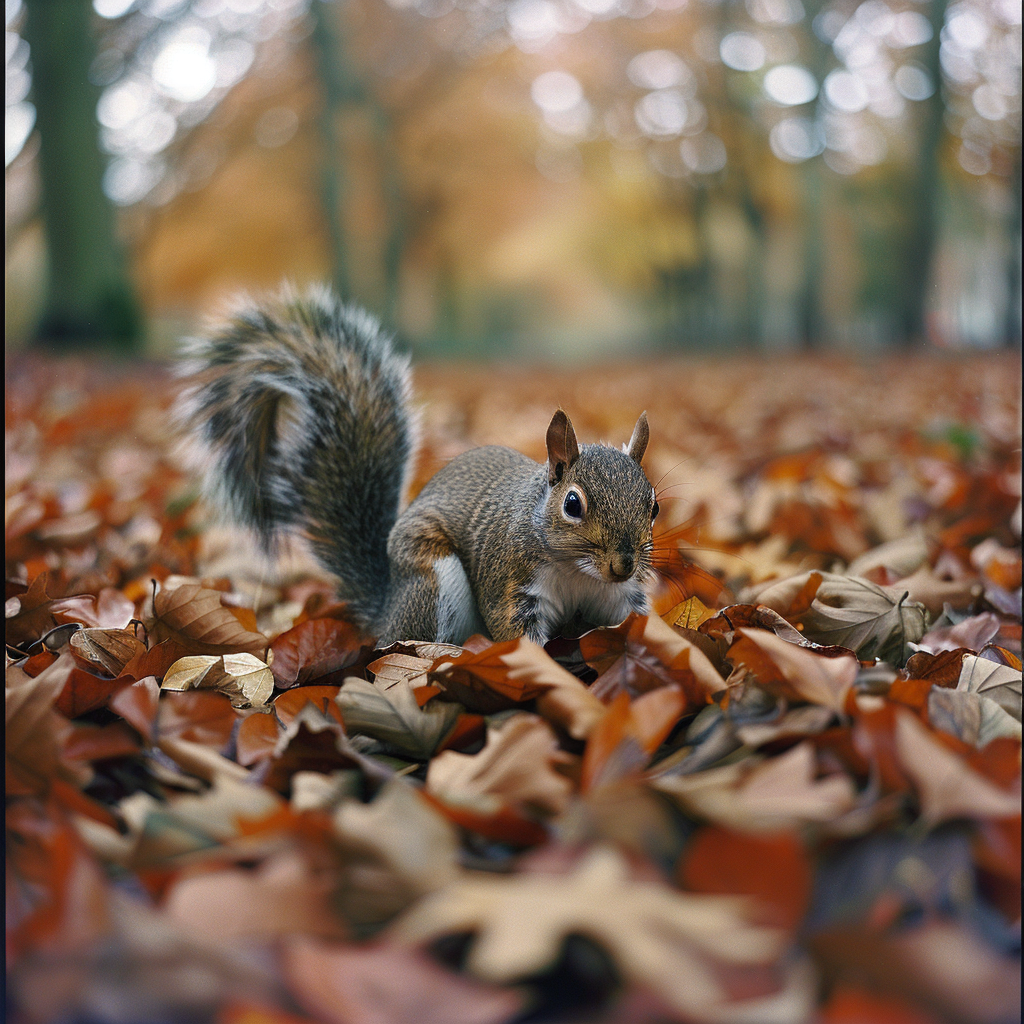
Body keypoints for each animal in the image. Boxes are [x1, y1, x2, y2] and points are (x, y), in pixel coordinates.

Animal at [179, 284, 659, 643]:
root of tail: (387, 611)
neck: (579, 573)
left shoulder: (618, 599)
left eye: (653, 506)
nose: (623, 564)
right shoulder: (511, 585)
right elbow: (517, 638)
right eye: (572, 505)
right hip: (432, 580)